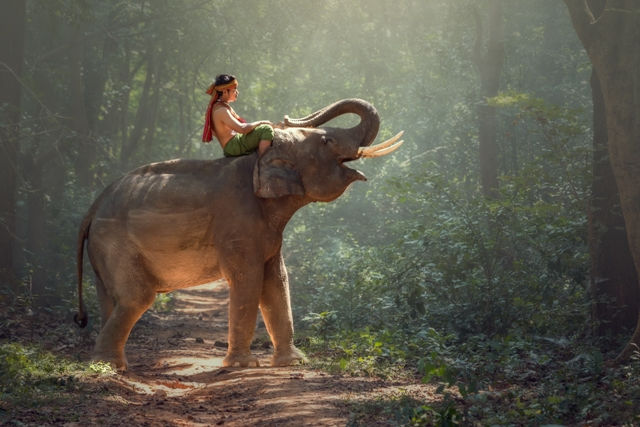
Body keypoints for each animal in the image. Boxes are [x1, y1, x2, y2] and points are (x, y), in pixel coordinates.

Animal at [74, 98, 403, 371]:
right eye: (326, 140)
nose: (284, 117)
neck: (258, 159)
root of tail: (93, 207)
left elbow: (277, 280)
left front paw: (293, 362)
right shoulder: (238, 222)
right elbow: (248, 280)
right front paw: (243, 366)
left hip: (102, 253)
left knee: (111, 299)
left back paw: (115, 365)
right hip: (115, 243)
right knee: (136, 297)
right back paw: (108, 368)